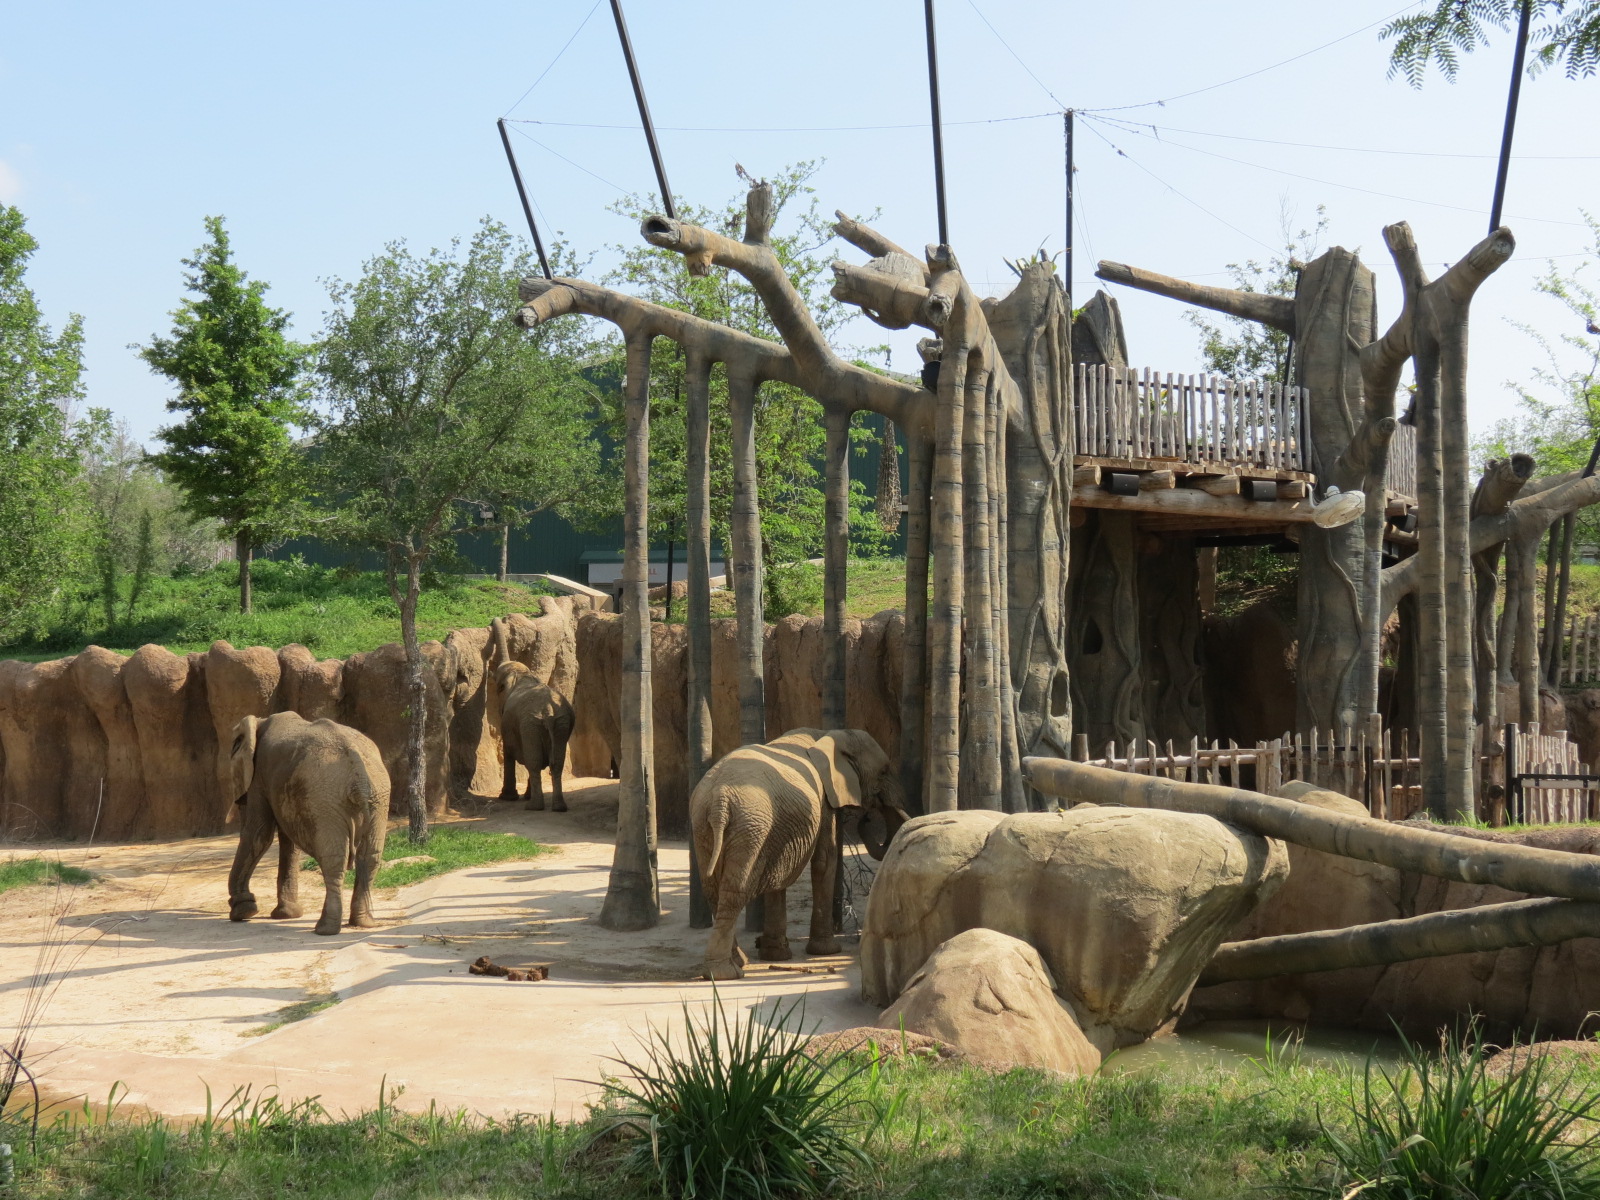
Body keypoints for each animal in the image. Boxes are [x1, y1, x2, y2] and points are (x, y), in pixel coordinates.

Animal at [226, 712, 388, 936]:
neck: (260, 721)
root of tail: (360, 779)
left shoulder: (259, 775)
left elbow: (259, 834)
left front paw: (243, 911)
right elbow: (287, 841)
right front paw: (286, 914)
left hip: (324, 798)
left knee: (334, 858)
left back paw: (325, 929)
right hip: (377, 799)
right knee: (370, 856)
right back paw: (363, 923)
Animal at [691, 727, 910, 980]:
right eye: (883, 771)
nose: (866, 818)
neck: (828, 735)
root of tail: (719, 802)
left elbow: (778, 874)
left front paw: (776, 955)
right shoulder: (824, 799)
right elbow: (825, 858)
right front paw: (827, 951)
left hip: (706, 824)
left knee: (713, 890)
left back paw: (738, 962)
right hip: (748, 828)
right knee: (735, 892)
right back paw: (725, 973)